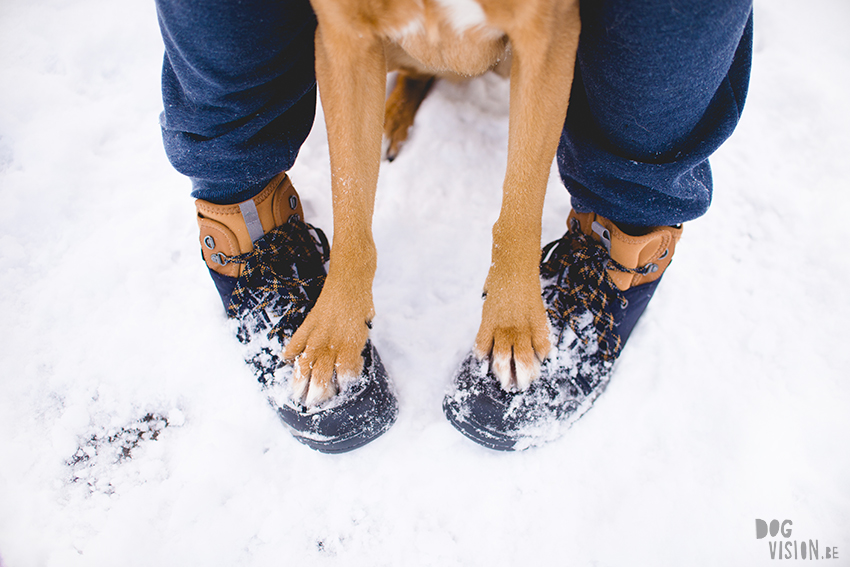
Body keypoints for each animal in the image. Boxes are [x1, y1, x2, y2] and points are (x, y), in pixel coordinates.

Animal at [282, 0, 580, 406]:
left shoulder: (547, 39)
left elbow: (522, 197)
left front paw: (512, 322)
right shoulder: (344, 41)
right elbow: (349, 203)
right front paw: (330, 338)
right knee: (415, 75)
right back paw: (391, 121)